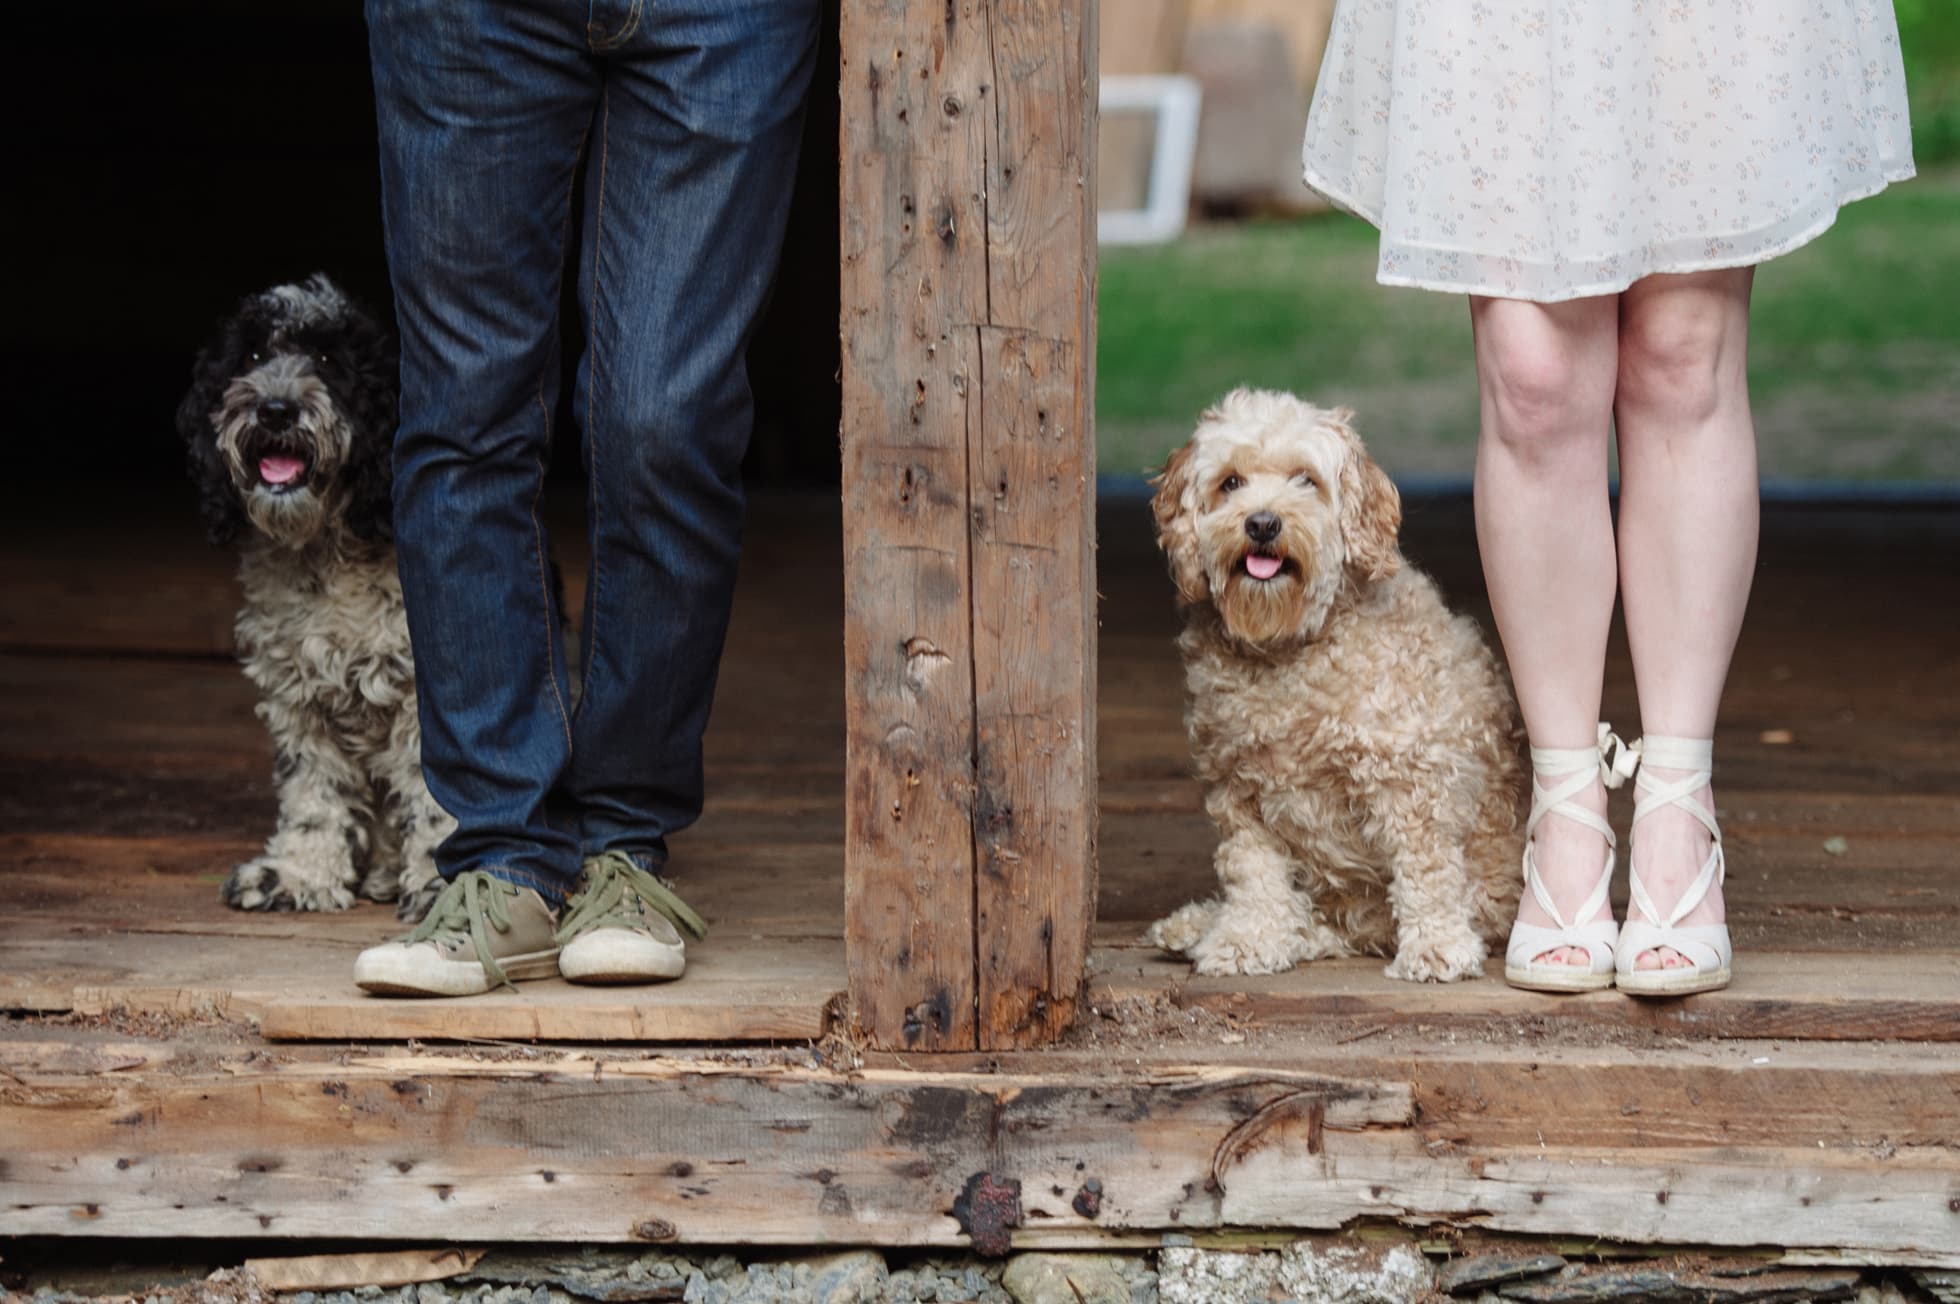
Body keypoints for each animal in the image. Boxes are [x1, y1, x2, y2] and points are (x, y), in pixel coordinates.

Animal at [179, 274, 448, 921]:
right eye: (252, 356)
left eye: (329, 361)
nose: (275, 408)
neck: (326, 555)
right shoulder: (297, 694)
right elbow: (314, 793)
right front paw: (300, 874)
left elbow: (435, 797)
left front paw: (440, 882)